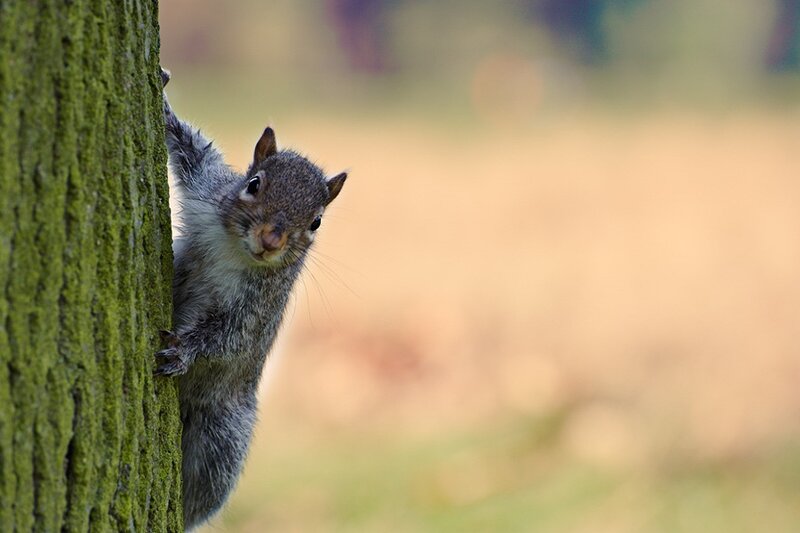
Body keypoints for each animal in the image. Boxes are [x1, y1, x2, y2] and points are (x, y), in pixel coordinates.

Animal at [155, 68, 347, 530]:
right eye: (254, 184)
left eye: (316, 222)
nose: (271, 240)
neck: (235, 249)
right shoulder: (206, 188)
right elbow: (191, 149)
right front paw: (164, 99)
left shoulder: (257, 307)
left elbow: (227, 338)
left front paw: (183, 351)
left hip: (221, 438)